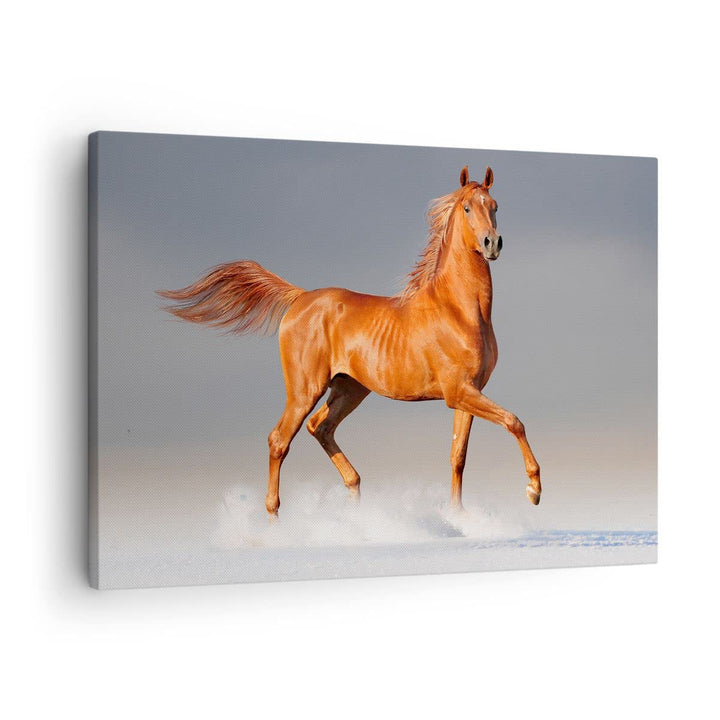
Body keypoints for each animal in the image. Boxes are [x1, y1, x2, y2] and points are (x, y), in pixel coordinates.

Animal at [158, 165, 542, 517]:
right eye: (466, 208)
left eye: (494, 205)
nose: (492, 243)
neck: (459, 310)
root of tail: (300, 298)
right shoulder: (457, 392)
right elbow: (514, 421)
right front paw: (534, 489)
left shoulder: (468, 392)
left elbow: (458, 456)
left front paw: (457, 516)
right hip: (305, 389)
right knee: (280, 440)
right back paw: (275, 518)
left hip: (349, 388)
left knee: (320, 427)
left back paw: (354, 499)